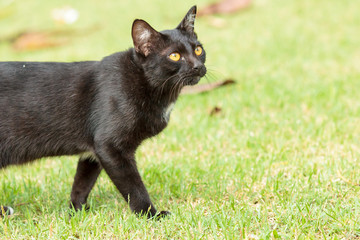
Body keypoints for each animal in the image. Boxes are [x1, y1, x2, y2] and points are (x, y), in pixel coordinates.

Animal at [0, 6, 207, 219]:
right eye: (174, 56)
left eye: (198, 49)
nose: (198, 66)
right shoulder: (110, 146)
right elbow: (134, 187)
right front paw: (149, 214)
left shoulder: (94, 150)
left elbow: (82, 183)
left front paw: (77, 211)